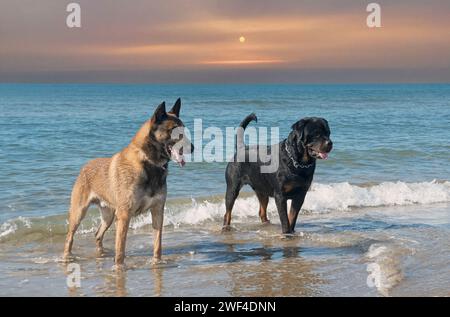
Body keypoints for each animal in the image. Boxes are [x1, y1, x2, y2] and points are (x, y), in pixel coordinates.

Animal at [62, 98, 192, 264]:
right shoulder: (124, 216)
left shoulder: (157, 211)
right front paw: (119, 267)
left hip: (108, 216)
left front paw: (157, 262)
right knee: (69, 237)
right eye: (175, 131)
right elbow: (120, 251)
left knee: (98, 235)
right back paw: (67, 257)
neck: (148, 162)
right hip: (79, 213)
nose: (193, 148)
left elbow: (157, 245)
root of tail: (85, 166)